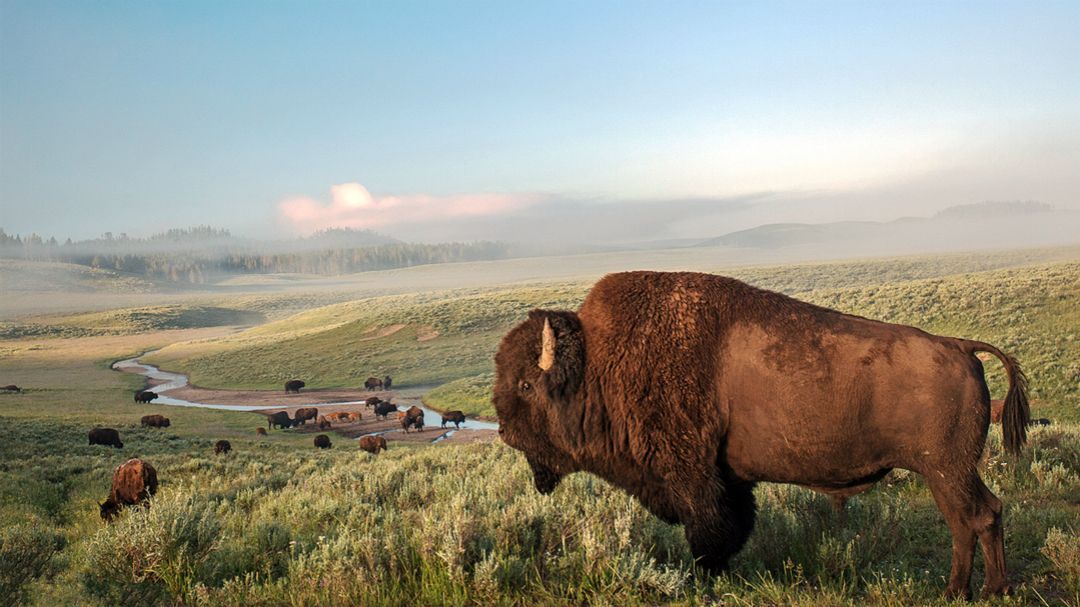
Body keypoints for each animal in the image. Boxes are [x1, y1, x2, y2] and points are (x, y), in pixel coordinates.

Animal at [492, 270, 1028, 600]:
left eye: (525, 384)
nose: (503, 429)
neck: (598, 362)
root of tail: (959, 346)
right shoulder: (730, 480)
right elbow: (733, 526)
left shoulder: (693, 477)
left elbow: (710, 533)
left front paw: (705, 579)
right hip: (948, 472)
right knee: (978, 516)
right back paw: (975, 590)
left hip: (945, 470)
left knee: (975, 518)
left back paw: (975, 591)